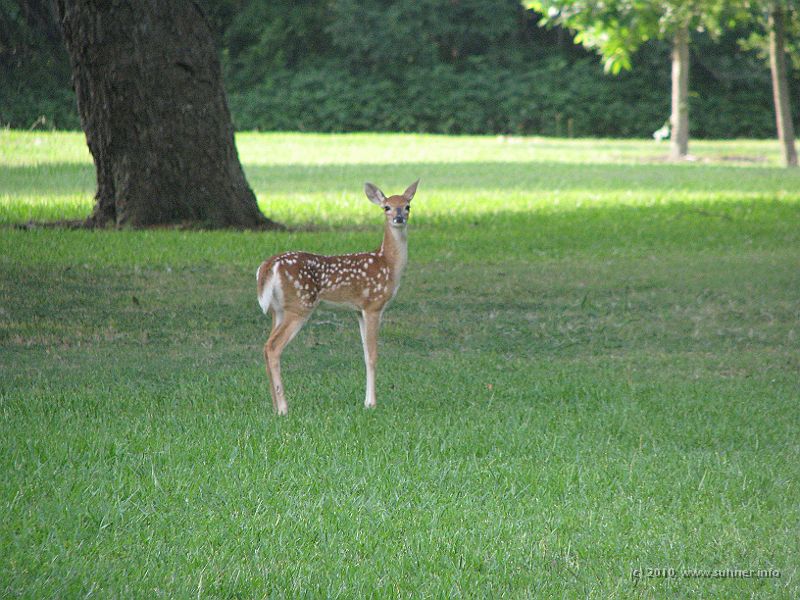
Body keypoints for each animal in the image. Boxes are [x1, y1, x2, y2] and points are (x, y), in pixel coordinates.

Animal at [256, 180, 419, 415]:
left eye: (407, 206)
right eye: (386, 207)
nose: (399, 218)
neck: (387, 263)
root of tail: (269, 265)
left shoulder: (358, 310)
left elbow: (364, 353)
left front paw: (366, 401)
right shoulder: (373, 304)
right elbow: (373, 355)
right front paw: (372, 403)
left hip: (277, 310)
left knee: (265, 346)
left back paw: (274, 406)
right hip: (300, 305)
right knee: (273, 347)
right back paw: (284, 408)